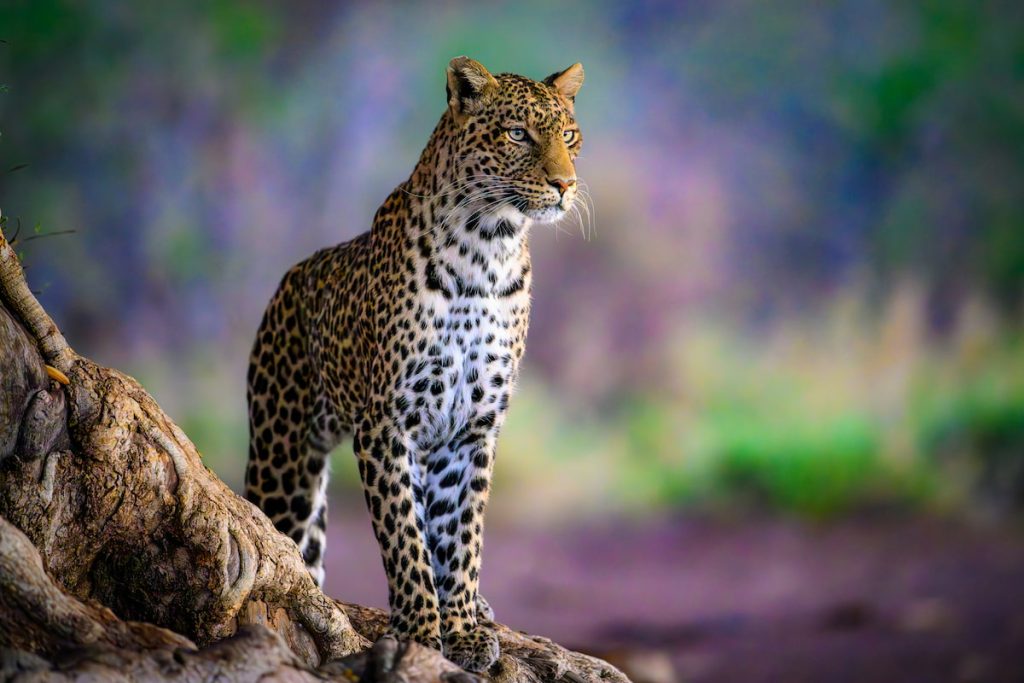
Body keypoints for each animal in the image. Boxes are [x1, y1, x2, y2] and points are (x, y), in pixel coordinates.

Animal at [244, 56, 584, 672]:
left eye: (568, 136)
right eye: (517, 134)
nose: (564, 184)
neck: (488, 248)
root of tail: (288, 281)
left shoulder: (472, 428)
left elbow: (461, 534)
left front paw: (463, 627)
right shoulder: (386, 424)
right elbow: (404, 537)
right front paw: (423, 633)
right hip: (284, 458)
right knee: (283, 534)